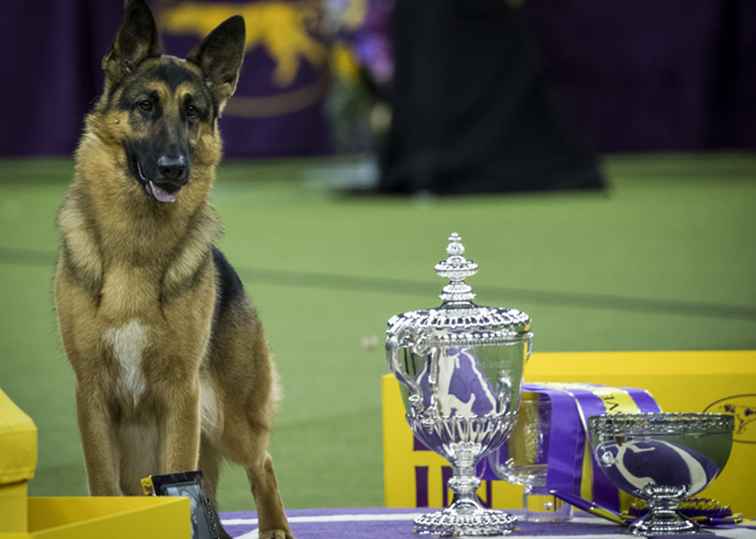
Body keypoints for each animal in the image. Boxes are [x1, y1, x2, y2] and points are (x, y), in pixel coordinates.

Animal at [53, 2, 294, 536]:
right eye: (146, 105)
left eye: (193, 113)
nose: (173, 169)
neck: (135, 248)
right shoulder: (91, 396)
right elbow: (103, 484)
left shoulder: (180, 395)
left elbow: (181, 470)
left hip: (230, 419)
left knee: (263, 463)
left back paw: (275, 526)